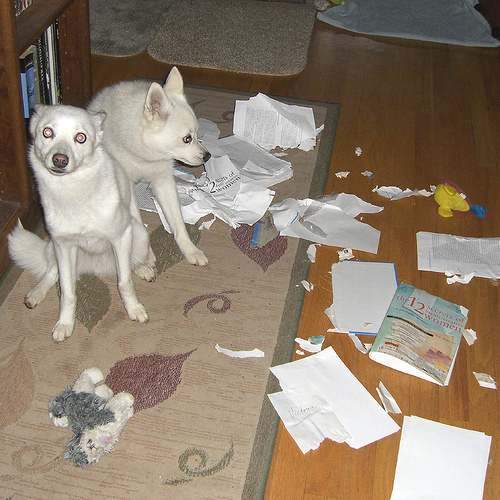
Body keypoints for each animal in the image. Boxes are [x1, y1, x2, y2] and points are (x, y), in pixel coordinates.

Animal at [8, 105, 156, 342]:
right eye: (47, 132)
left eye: (81, 137)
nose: (59, 159)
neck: (73, 190)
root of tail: (95, 267)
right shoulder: (63, 246)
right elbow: (67, 293)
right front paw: (64, 323)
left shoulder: (121, 236)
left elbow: (124, 282)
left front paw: (134, 309)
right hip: (53, 247)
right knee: (52, 272)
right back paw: (37, 293)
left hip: (138, 235)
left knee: (130, 263)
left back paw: (142, 268)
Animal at [87, 67, 210, 267]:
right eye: (187, 139)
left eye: (197, 133)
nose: (208, 156)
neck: (144, 157)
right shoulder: (126, 189)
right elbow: (136, 221)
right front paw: (145, 255)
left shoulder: (164, 182)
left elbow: (178, 223)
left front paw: (190, 250)